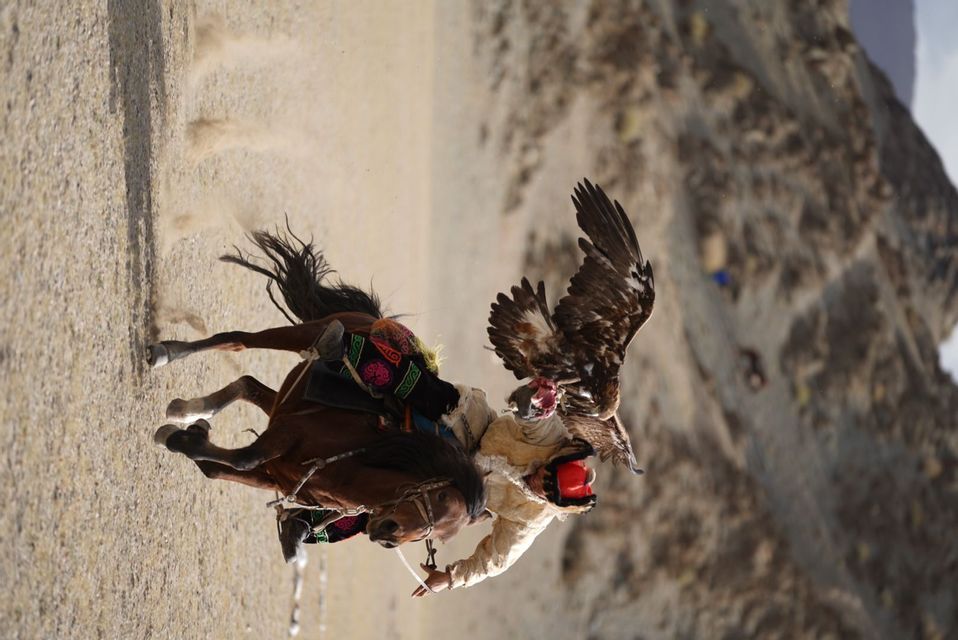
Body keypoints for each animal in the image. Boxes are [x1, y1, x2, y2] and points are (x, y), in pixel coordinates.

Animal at [149, 230, 487, 548]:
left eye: (440, 535)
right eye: (442, 497)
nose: (389, 536)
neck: (346, 470)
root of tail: (373, 318)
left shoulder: (274, 472)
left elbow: (217, 469)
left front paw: (185, 432)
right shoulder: (287, 433)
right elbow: (244, 457)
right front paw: (180, 437)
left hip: (287, 398)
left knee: (247, 384)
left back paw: (186, 409)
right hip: (304, 334)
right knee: (237, 339)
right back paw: (166, 353)